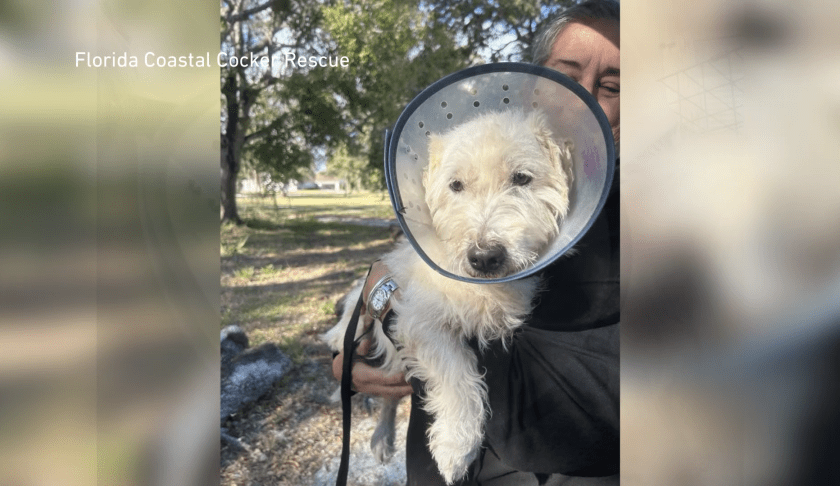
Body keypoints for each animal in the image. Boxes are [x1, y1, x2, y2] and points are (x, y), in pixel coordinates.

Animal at [322, 108, 572, 484]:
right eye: (455, 185)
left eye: (521, 178)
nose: (484, 257)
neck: (481, 288)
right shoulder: (417, 321)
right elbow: (455, 369)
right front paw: (457, 444)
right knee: (353, 312)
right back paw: (339, 343)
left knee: (388, 399)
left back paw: (382, 437)